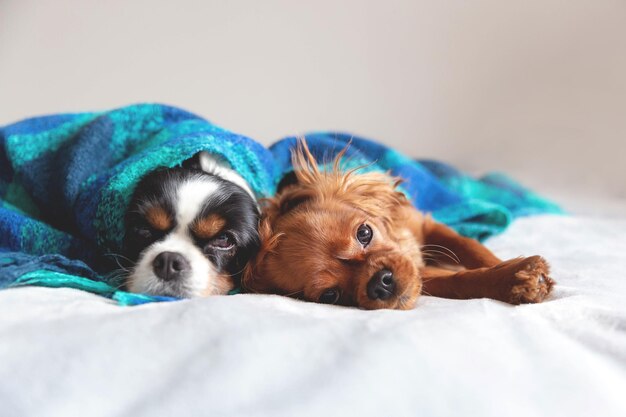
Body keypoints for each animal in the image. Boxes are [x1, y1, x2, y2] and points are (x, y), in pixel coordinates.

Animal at [241, 141, 552, 308]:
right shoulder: (422, 275)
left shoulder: (426, 225)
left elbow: (470, 247)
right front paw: (512, 279)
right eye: (330, 295)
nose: (380, 283)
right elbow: (458, 280)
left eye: (364, 233)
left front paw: (508, 266)